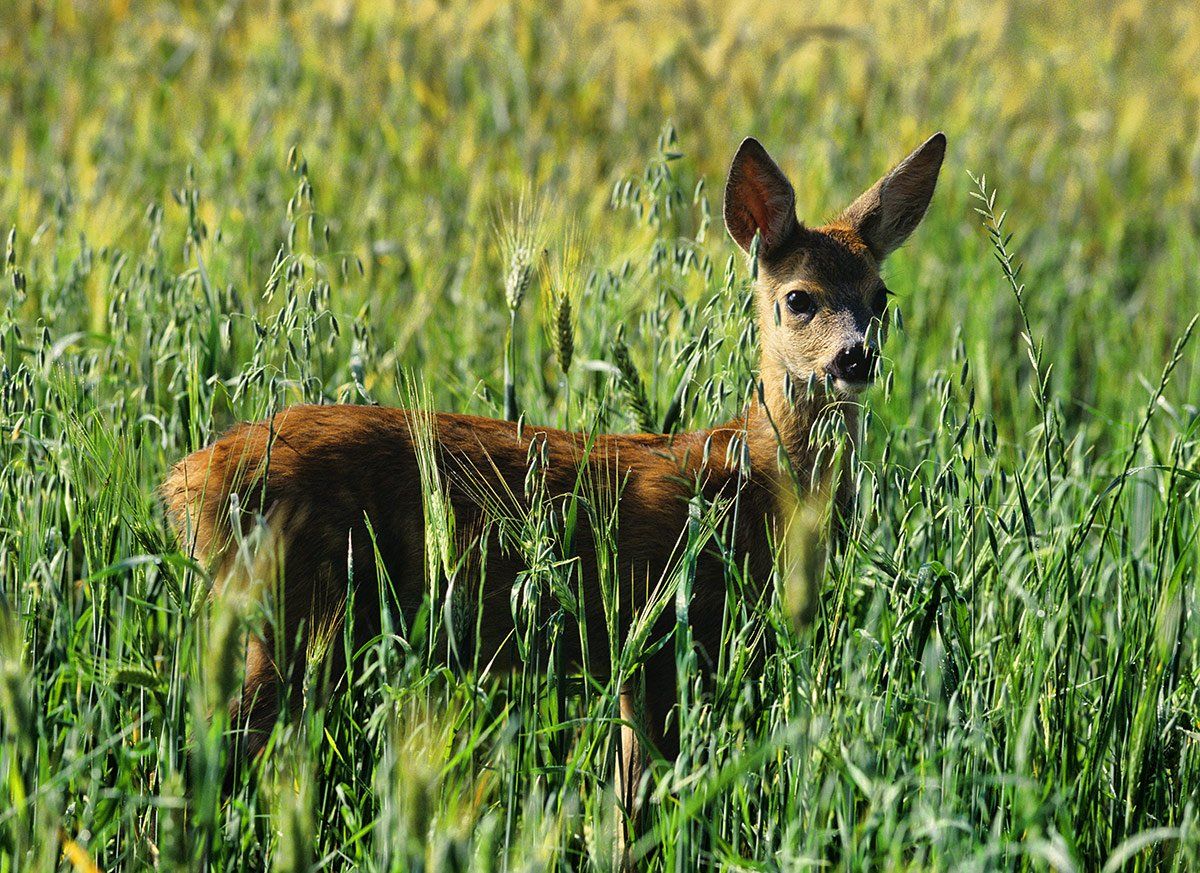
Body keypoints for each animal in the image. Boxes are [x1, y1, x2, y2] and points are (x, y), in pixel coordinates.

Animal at [162, 131, 946, 834]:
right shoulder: (661, 638)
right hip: (293, 616)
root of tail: (190, 476)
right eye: (799, 298)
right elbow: (637, 806)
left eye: (880, 296)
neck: (750, 482)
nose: (854, 359)